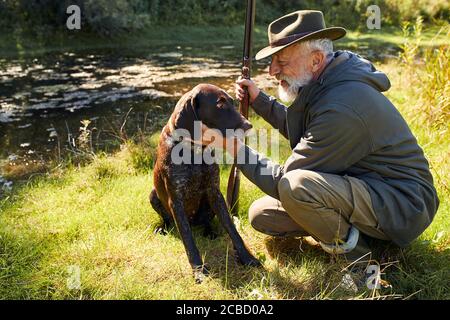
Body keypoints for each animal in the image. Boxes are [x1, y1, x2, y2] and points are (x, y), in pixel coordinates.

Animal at [149, 83, 260, 282]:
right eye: (220, 104)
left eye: (232, 101)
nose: (249, 125)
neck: (194, 150)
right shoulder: (175, 201)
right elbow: (188, 241)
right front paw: (199, 270)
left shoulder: (215, 192)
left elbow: (233, 230)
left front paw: (247, 258)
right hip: (153, 194)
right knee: (168, 219)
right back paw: (163, 228)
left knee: (207, 221)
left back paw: (210, 232)